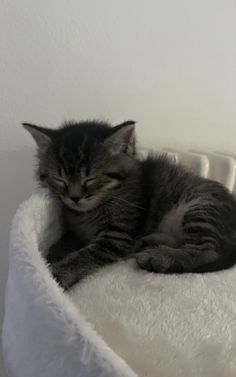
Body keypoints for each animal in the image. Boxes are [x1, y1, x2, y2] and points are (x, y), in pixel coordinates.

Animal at [23, 119, 236, 288]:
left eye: (90, 179)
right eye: (60, 180)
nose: (74, 197)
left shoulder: (117, 236)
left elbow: (85, 255)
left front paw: (55, 274)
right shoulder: (77, 230)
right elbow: (66, 240)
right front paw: (54, 252)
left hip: (202, 207)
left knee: (208, 252)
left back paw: (159, 257)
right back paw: (152, 242)